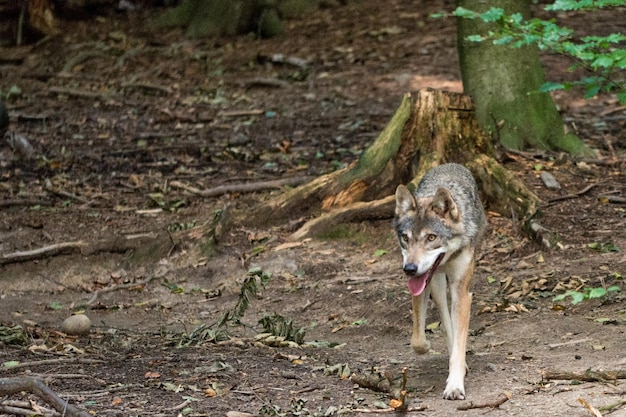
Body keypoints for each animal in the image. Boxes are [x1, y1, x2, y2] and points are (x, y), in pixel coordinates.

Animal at [392, 163, 486, 400]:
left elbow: (460, 344)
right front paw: (425, 345)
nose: (409, 269)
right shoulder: (420, 284)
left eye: (431, 237)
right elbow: (417, 340)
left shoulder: (463, 291)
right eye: (405, 238)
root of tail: (450, 164)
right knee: (445, 321)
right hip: (436, 284)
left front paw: (455, 385)